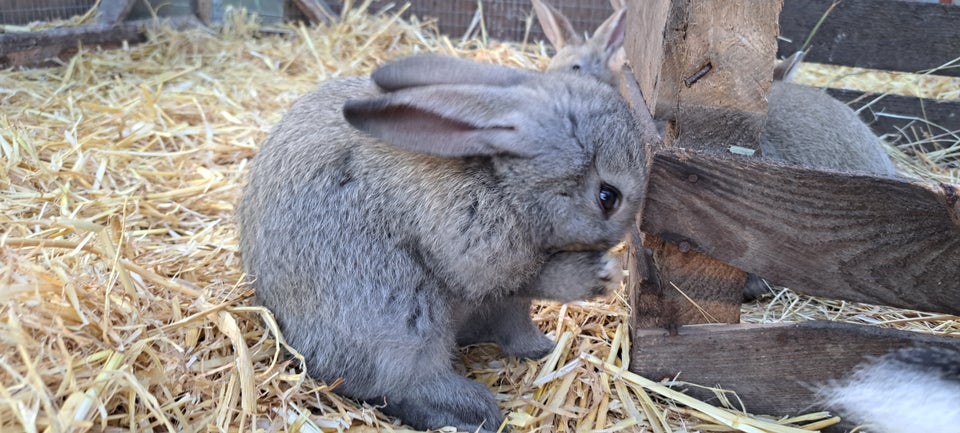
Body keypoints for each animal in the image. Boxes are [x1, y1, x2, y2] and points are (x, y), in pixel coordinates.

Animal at [237, 54, 656, 432]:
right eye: (608, 196)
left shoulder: (507, 300)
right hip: (405, 317)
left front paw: (542, 348)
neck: (504, 177)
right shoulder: (479, 256)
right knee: (404, 385)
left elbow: (516, 321)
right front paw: (601, 274)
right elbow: (534, 278)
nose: (616, 244)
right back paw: (477, 411)